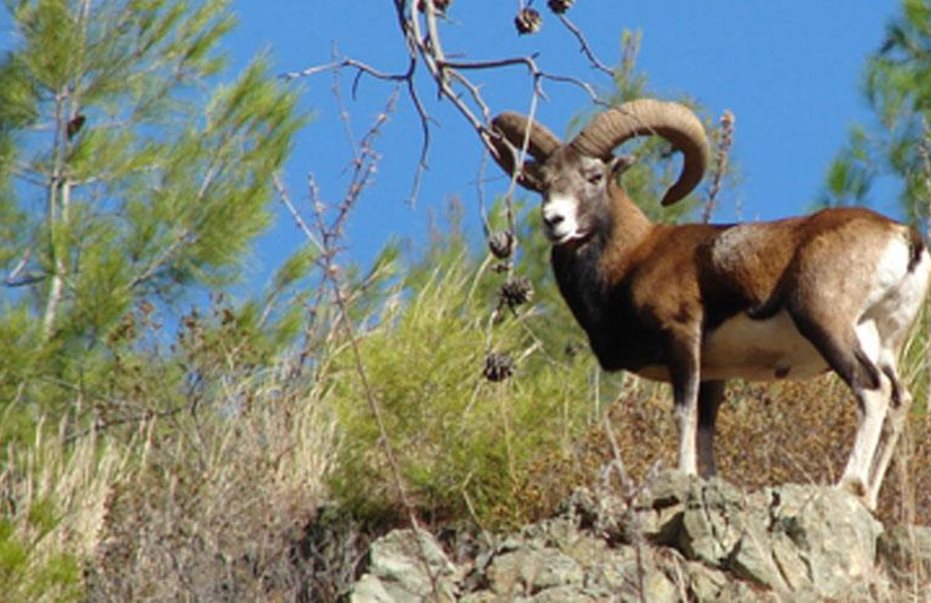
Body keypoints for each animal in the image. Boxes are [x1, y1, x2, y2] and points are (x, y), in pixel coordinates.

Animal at [488, 99, 931, 510]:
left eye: (594, 177)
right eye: (542, 183)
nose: (554, 220)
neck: (631, 259)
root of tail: (904, 237)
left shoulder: (682, 340)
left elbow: (682, 414)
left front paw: (681, 476)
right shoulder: (714, 374)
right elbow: (705, 431)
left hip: (826, 324)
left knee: (871, 389)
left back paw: (847, 486)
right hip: (882, 343)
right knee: (898, 399)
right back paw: (869, 498)